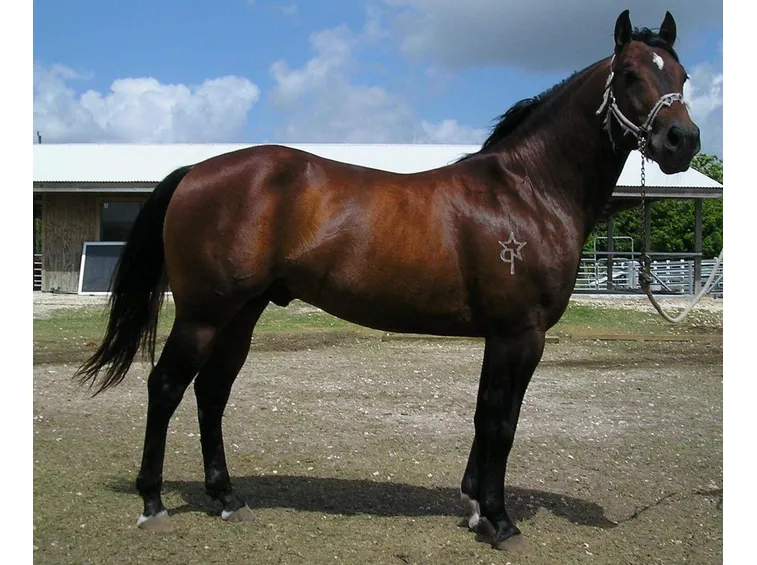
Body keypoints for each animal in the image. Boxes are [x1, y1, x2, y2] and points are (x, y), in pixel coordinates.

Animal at [75, 9, 700, 550]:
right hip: (204, 313)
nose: (681, 141)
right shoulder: (520, 335)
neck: (526, 191)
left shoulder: (500, 338)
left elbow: (484, 415)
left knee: (211, 392)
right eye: (630, 74)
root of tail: (194, 173)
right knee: (166, 387)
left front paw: (476, 507)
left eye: (683, 74)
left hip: (241, 315)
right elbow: (502, 422)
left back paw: (227, 498)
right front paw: (500, 522)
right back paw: (153, 503)